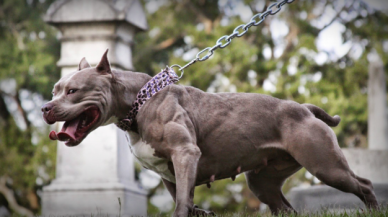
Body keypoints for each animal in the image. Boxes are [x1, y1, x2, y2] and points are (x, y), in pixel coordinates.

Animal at [41, 50, 378, 215]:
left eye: (73, 91)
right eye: (55, 90)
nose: (45, 107)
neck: (138, 102)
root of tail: (304, 107)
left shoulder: (185, 154)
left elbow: (181, 205)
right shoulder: (169, 174)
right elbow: (186, 200)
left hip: (325, 165)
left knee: (363, 184)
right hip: (262, 182)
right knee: (285, 207)